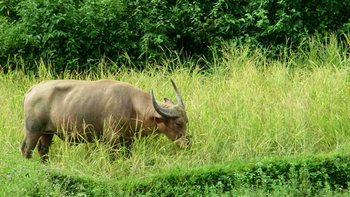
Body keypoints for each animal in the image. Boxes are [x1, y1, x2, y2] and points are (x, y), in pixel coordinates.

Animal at [20, 79, 190, 161]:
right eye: (178, 123)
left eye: (187, 121)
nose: (188, 143)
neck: (132, 106)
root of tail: (31, 91)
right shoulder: (111, 139)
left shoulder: (128, 140)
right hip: (33, 130)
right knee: (26, 149)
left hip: (48, 133)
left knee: (43, 149)